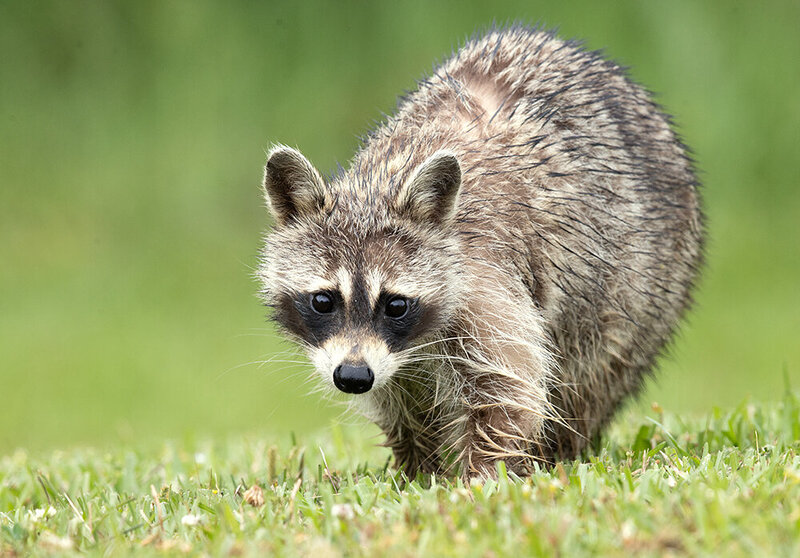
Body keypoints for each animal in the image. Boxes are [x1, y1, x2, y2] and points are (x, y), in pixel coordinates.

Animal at [258, 26, 704, 479]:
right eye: (323, 300)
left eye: (396, 305)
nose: (352, 376)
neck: (379, 184)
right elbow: (402, 400)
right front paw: (418, 467)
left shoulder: (484, 288)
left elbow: (510, 389)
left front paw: (482, 475)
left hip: (640, 293)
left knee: (591, 374)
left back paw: (558, 449)